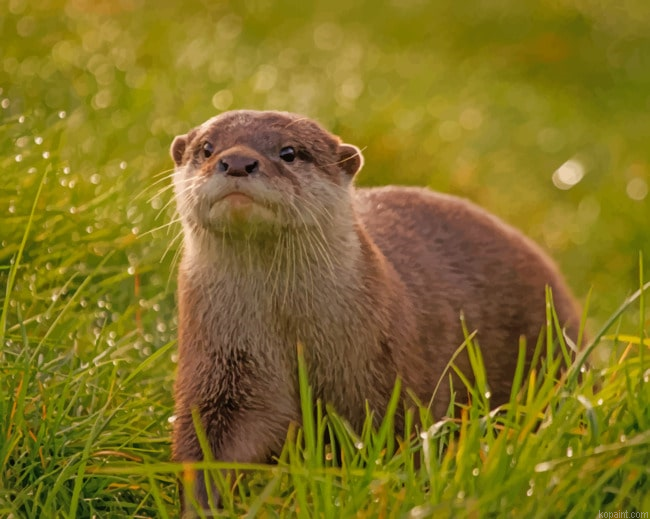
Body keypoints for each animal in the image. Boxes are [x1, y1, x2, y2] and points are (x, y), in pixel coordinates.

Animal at [169, 110, 581, 512]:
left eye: (289, 152)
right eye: (207, 149)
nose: (237, 161)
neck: (289, 329)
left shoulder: (388, 375)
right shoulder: (222, 367)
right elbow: (211, 442)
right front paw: (202, 504)